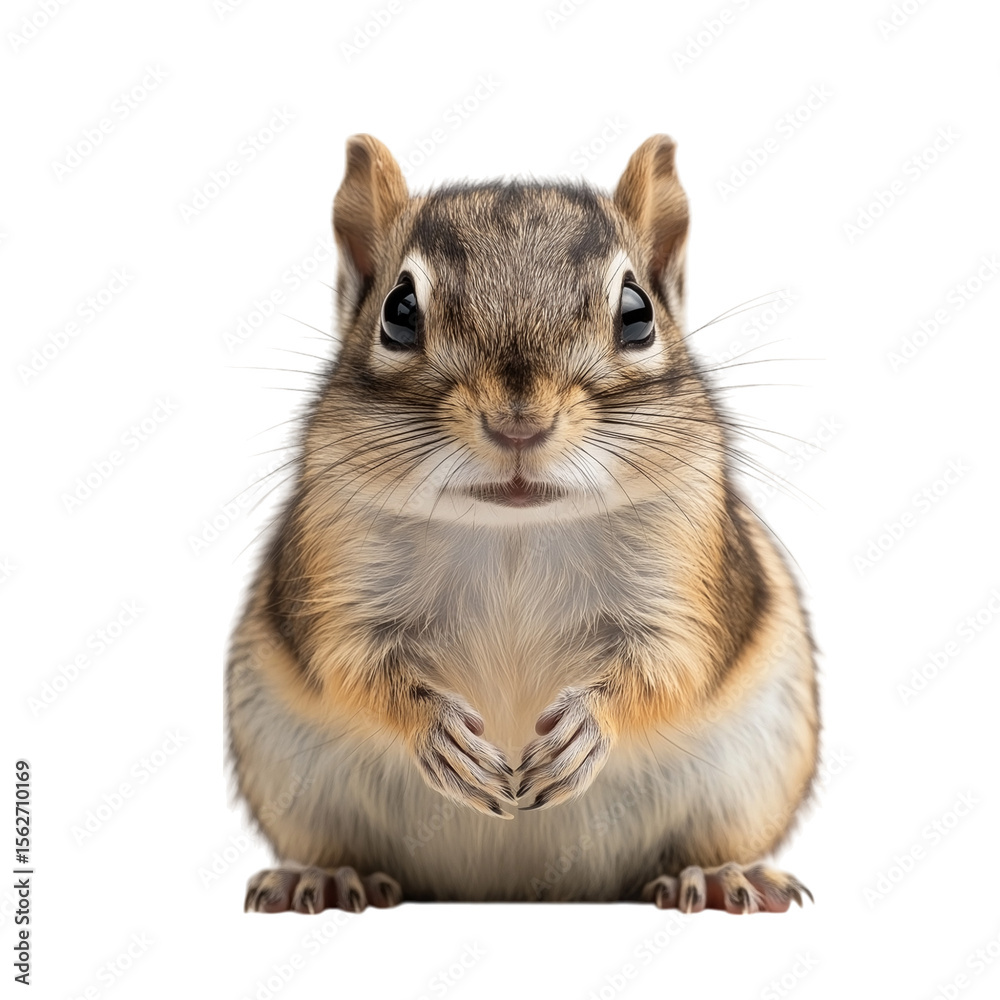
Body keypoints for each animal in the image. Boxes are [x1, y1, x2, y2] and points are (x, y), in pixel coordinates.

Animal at [227, 133, 820, 915]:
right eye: (399, 311)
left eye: (637, 312)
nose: (520, 422)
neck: (511, 530)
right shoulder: (334, 575)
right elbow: (354, 667)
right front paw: (440, 734)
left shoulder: (687, 576)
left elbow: (670, 668)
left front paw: (586, 728)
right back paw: (321, 877)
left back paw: (723, 874)